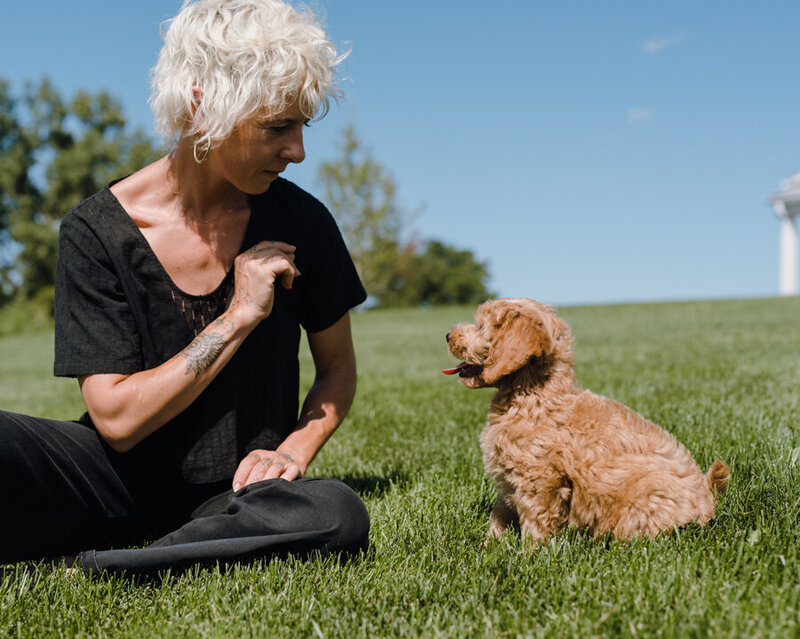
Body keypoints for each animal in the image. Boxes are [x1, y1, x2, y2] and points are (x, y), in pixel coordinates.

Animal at [444, 300, 732, 544]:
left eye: (480, 326)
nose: (447, 335)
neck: (535, 396)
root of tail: (708, 499)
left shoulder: (538, 479)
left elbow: (535, 522)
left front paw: (528, 555)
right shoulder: (508, 480)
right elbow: (499, 515)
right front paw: (489, 546)